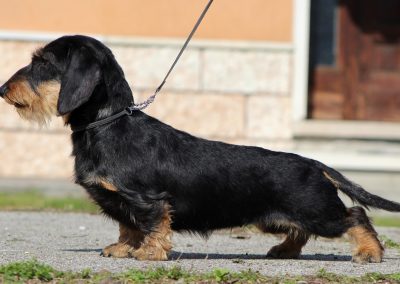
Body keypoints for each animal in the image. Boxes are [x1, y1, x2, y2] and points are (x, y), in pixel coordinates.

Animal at [0, 36, 400, 264]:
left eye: (42, 63)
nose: (3, 89)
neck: (109, 124)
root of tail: (315, 163)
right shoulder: (122, 202)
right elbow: (128, 226)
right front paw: (124, 248)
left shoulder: (147, 199)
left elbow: (151, 225)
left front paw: (149, 253)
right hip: (277, 218)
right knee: (301, 231)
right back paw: (284, 251)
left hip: (318, 213)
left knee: (356, 216)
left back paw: (369, 253)